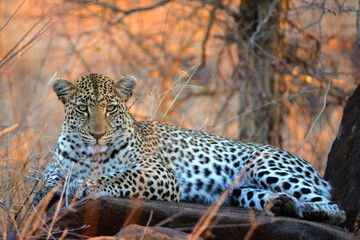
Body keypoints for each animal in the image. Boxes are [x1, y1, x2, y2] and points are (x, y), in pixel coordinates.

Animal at [35, 73, 346, 225]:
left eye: (110, 108)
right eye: (82, 109)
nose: (98, 134)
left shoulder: (158, 173)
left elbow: (117, 175)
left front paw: (84, 185)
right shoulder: (54, 167)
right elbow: (49, 179)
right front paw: (57, 188)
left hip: (266, 166)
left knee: (336, 208)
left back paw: (315, 213)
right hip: (242, 191)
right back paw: (282, 205)